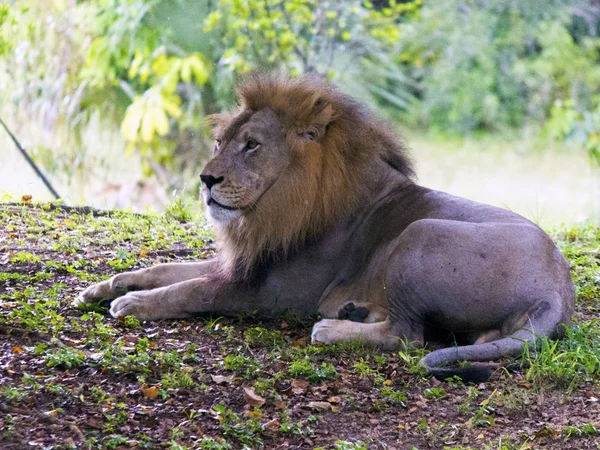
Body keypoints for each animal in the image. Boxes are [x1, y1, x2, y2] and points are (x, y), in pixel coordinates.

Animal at [77, 72, 576, 382]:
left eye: (251, 145)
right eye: (219, 142)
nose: (205, 180)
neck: (275, 210)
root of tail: (557, 289)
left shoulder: (271, 293)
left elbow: (190, 290)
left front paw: (132, 304)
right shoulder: (247, 263)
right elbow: (165, 269)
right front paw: (102, 287)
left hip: (419, 234)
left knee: (408, 336)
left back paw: (332, 328)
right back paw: (355, 311)